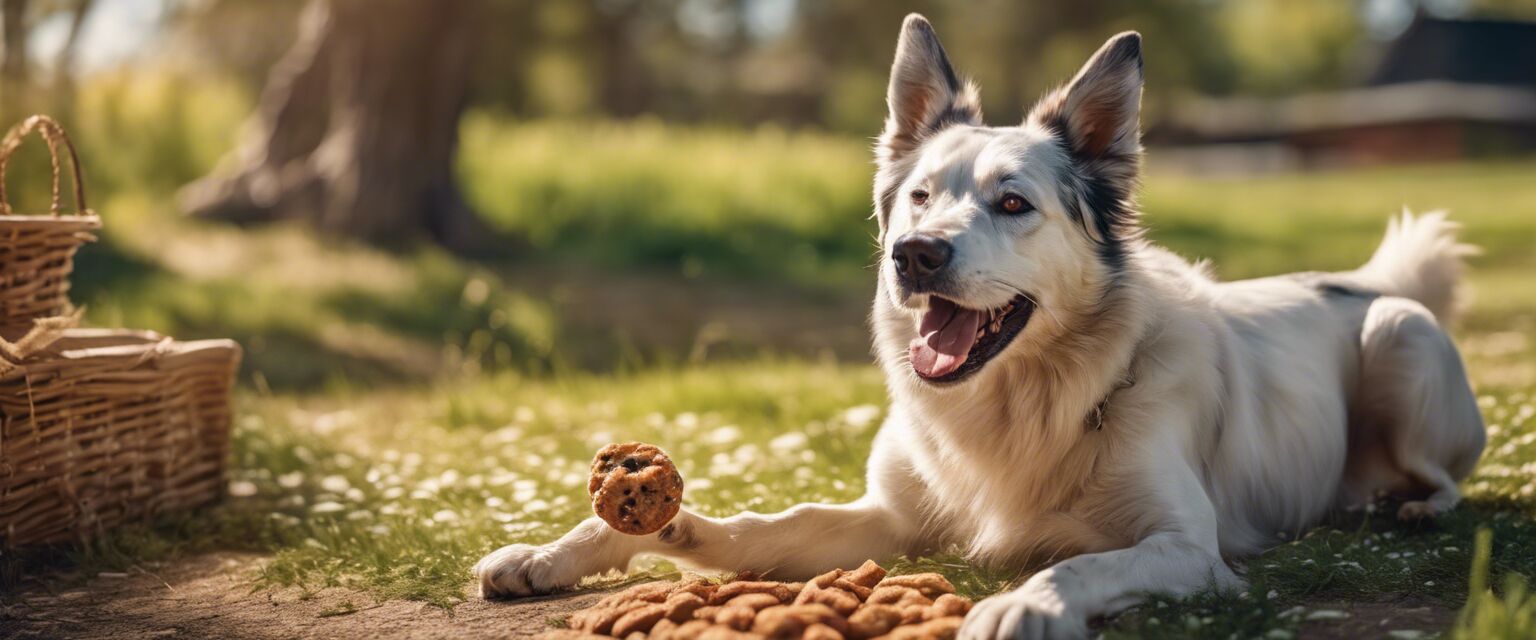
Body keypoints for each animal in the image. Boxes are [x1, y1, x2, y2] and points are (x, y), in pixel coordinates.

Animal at [479, 14, 1486, 638]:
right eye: (920, 196)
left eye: (1012, 203)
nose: (915, 255)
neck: (1018, 402)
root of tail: (1365, 280)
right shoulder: (889, 519)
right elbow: (756, 529)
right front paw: (596, 544)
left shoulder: (1187, 548)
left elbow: (1078, 566)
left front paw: (1021, 606)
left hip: (1399, 336)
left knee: (1441, 476)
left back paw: (1407, 504)